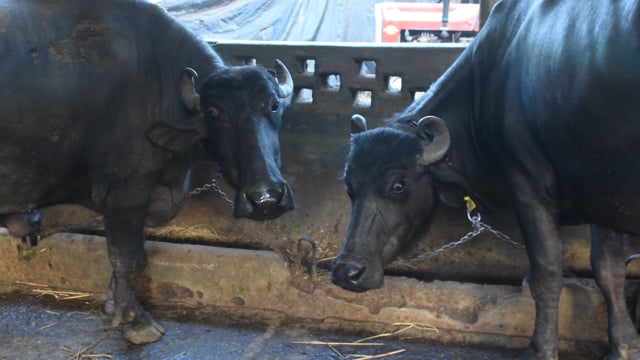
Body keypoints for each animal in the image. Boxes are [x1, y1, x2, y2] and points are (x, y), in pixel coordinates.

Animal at [0, 0, 296, 344]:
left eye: (273, 105)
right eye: (214, 113)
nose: (266, 198)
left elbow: (119, 259)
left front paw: (113, 306)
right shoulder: (126, 195)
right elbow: (128, 259)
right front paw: (136, 321)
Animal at [332, 0, 640, 358]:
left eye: (398, 185)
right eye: (349, 187)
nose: (346, 272)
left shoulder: (530, 189)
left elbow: (547, 272)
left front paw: (541, 348)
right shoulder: (601, 195)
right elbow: (608, 268)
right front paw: (624, 345)